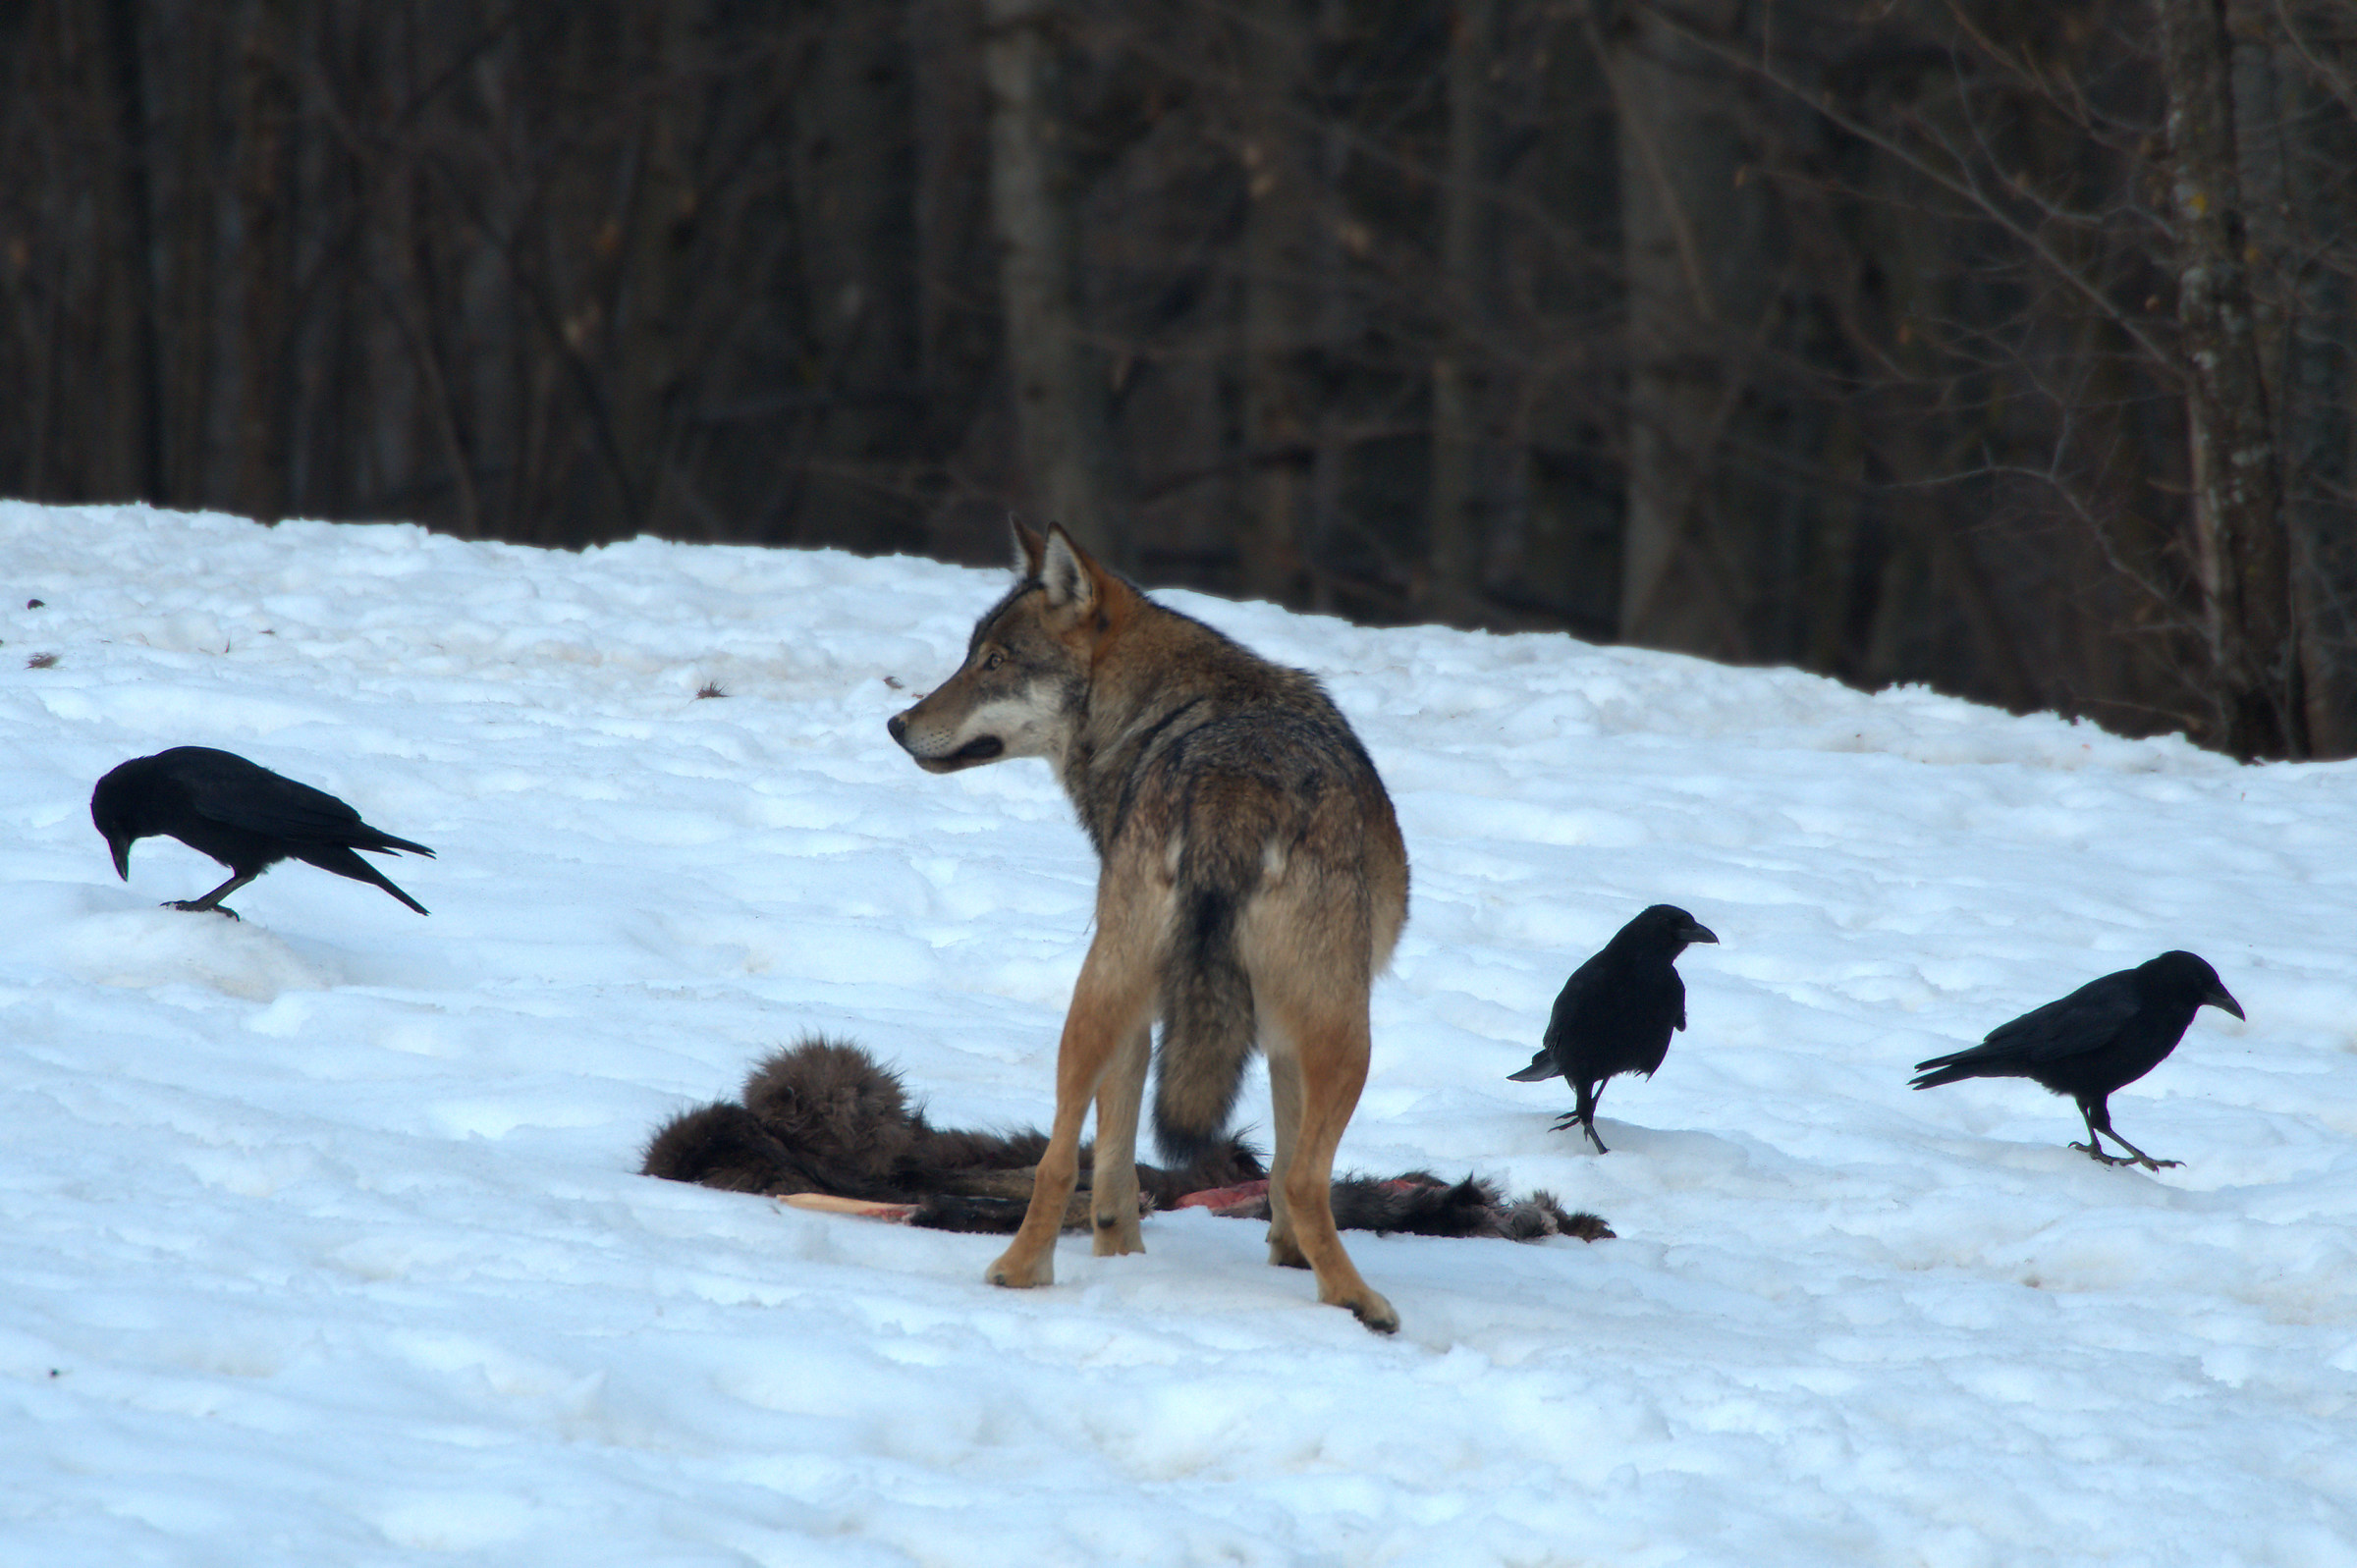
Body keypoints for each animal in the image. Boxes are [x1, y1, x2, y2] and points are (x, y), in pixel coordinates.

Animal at [887, 522, 1410, 1332]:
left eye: (993, 661)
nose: (896, 724)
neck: (1158, 712)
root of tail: (1232, 781)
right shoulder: (1286, 1035)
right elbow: (1284, 1163)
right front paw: (1292, 1258)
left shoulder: (1180, 1014)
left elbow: (1114, 1163)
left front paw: (1121, 1254)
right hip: (1347, 1032)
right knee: (1306, 1179)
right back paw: (1359, 1300)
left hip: (1101, 989)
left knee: (1058, 1156)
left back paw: (1021, 1270)